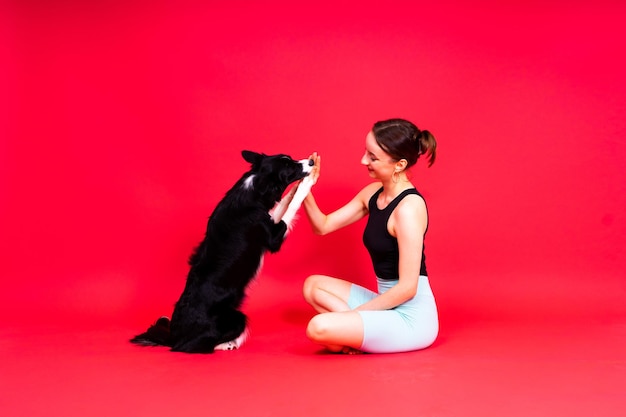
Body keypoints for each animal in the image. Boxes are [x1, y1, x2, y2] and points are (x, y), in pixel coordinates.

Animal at [130, 150, 312, 352]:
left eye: (291, 159)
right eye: (289, 167)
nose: (311, 162)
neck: (254, 187)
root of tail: (173, 338)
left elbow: (283, 206)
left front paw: (294, 190)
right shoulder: (272, 236)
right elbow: (291, 208)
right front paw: (306, 185)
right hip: (236, 317)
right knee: (198, 345)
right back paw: (228, 344)